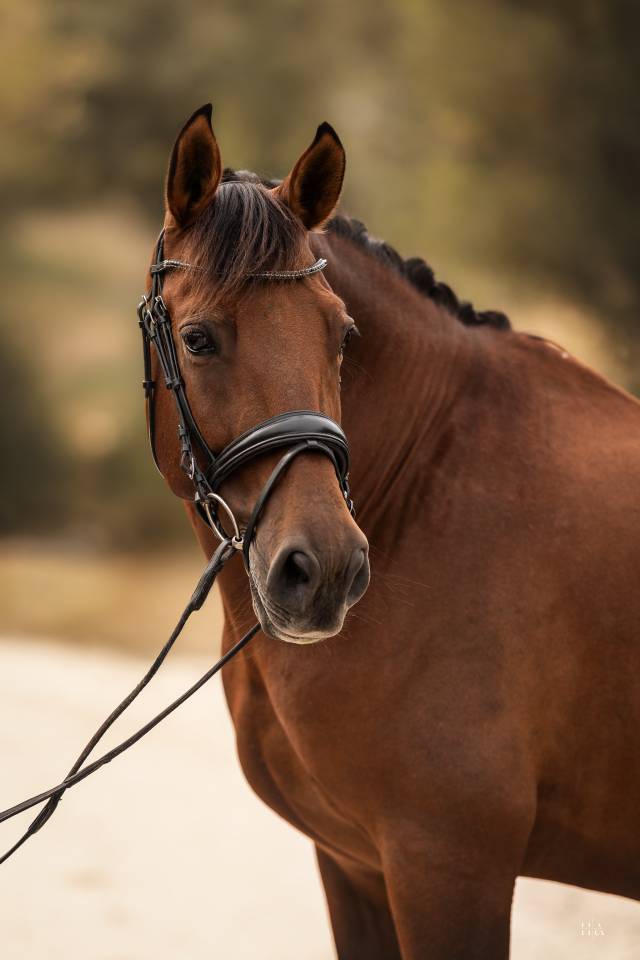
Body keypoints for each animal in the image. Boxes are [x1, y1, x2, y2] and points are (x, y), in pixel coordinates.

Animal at [143, 103, 640, 959]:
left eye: (342, 335)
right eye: (198, 338)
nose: (325, 572)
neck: (422, 491)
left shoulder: (446, 866)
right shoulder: (354, 864)